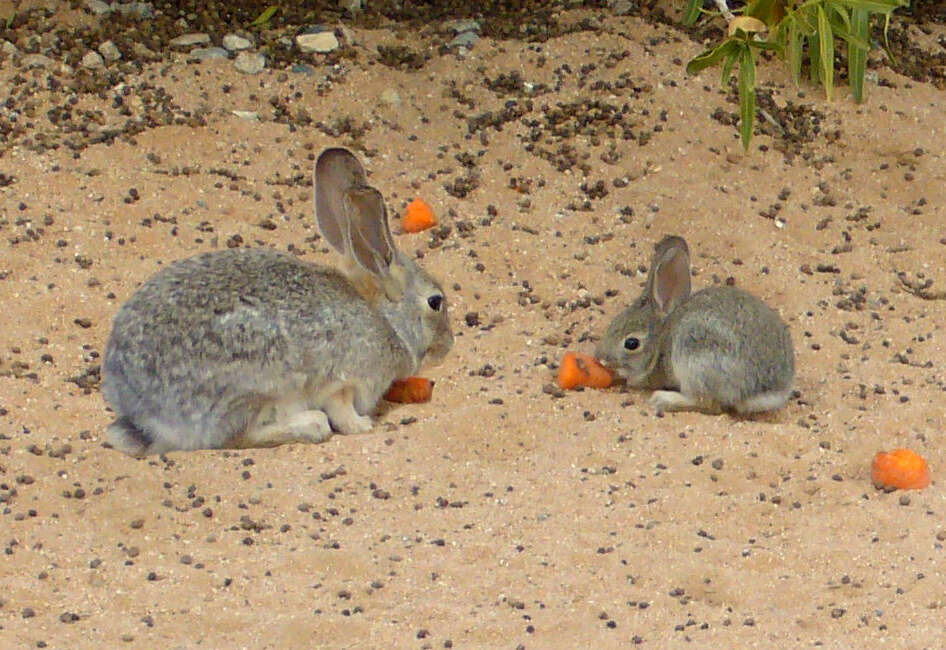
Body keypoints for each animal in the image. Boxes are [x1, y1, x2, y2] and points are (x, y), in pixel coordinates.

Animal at [102, 147, 454, 454]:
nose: (448, 346)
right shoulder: (344, 381)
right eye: (435, 302)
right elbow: (342, 412)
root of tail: (140, 407)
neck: (385, 319)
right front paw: (363, 425)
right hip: (253, 389)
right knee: (237, 436)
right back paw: (310, 425)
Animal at [596, 235, 788, 412]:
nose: (601, 358)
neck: (661, 339)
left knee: (708, 403)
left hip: (695, 360)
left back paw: (663, 399)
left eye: (631, 343)